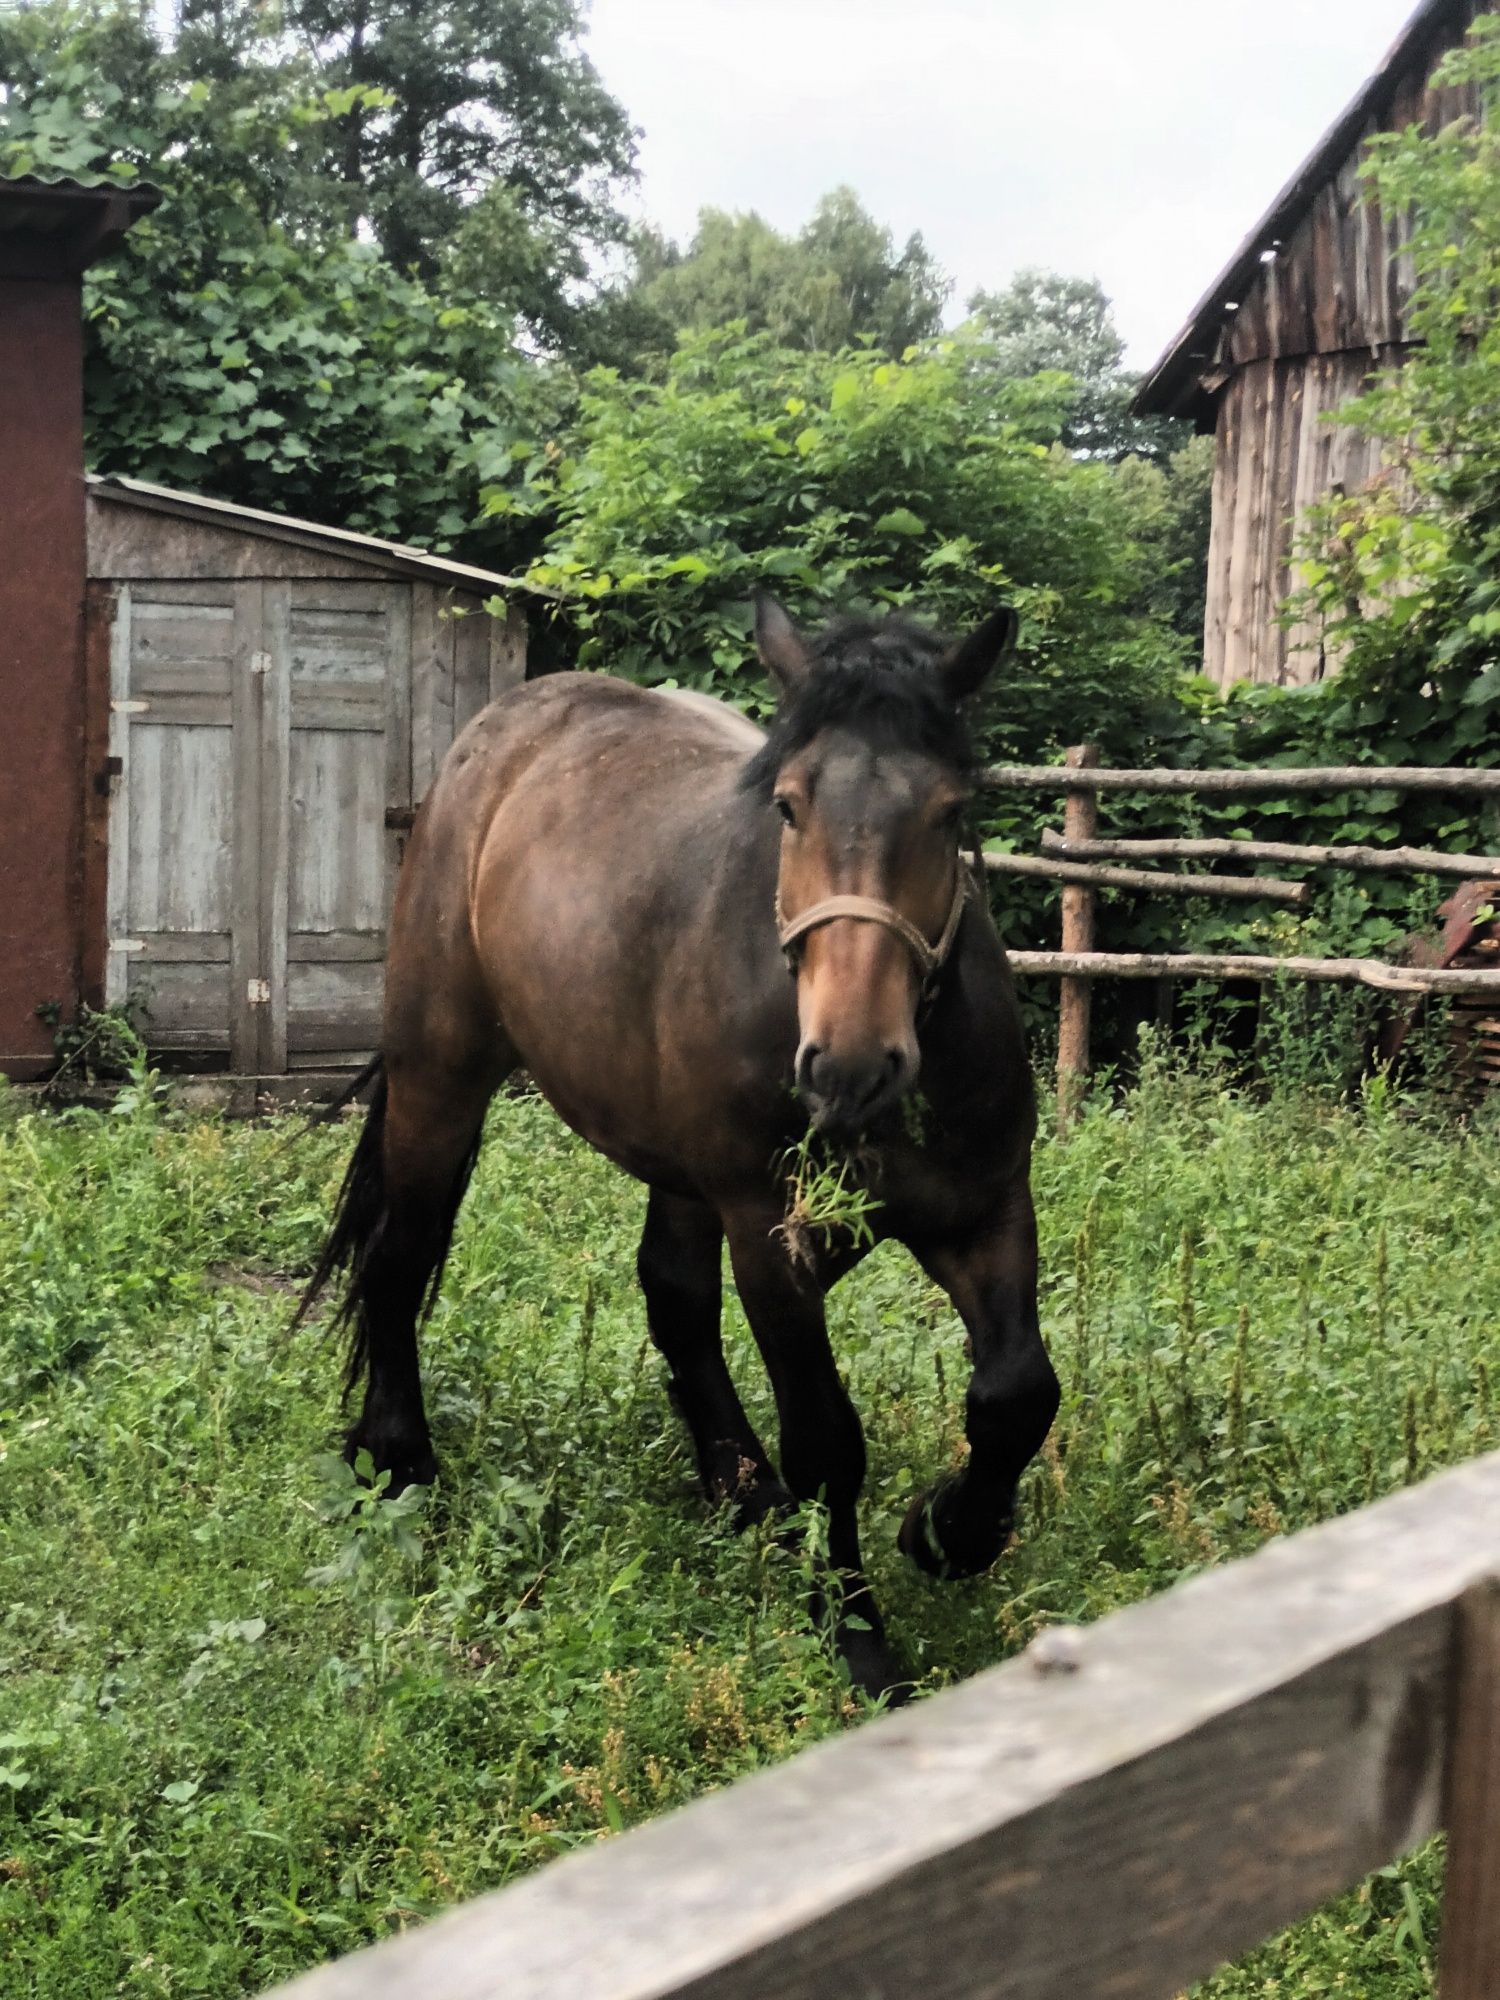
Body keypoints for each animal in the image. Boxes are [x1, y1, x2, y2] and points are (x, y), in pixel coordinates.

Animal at [302, 592, 1056, 1704]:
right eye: (788, 806)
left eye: (951, 812)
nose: (849, 1064)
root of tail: (503, 734)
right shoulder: (770, 1237)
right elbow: (828, 1436)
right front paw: (859, 1638)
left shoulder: (987, 1206)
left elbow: (1017, 1393)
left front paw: (949, 1531)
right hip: (442, 1078)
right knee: (401, 1253)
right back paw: (398, 1460)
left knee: (671, 1292)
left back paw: (742, 1488)